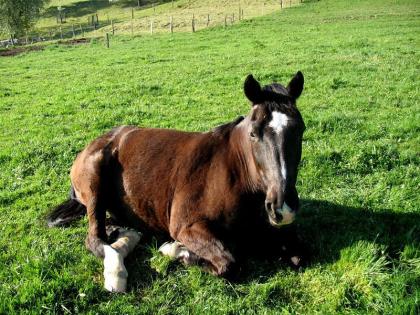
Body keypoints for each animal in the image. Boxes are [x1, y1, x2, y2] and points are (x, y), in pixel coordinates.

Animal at [47, 72, 306, 294]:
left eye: (301, 130)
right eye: (253, 133)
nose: (282, 207)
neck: (236, 173)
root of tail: (96, 142)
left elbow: (298, 255)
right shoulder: (186, 227)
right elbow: (229, 263)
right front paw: (174, 250)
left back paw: (128, 239)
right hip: (94, 186)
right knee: (95, 239)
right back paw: (116, 273)